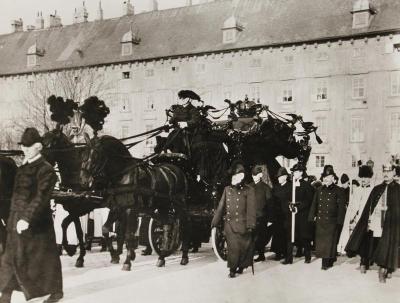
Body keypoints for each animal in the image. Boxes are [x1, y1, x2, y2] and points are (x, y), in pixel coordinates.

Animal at [80, 137, 191, 270]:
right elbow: (106, 229)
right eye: (84, 154)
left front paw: (127, 262)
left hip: (179, 205)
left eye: (96, 155)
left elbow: (128, 235)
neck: (123, 174)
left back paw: (184, 256)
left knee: (184, 226)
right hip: (163, 206)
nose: (84, 181)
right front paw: (115, 256)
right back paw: (162, 257)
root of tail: (178, 171)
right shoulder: (117, 208)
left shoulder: (130, 210)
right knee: (167, 225)